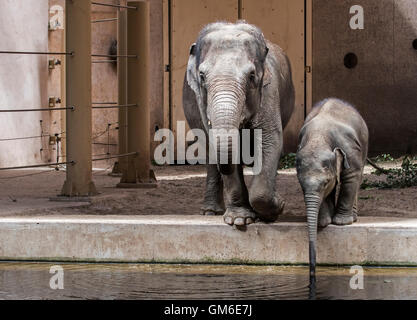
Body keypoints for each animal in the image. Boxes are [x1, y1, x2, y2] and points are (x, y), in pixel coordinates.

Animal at [181, 21, 292, 226]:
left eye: (251, 76)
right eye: (202, 76)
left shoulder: (269, 91)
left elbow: (270, 140)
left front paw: (275, 210)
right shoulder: (201, 101)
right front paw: (240, 220)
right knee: (210, 155)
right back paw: (210, 212)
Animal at [296, 97, 368, 278]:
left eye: (325, 183)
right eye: (300, 184)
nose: (312, 276)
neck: (319, 138)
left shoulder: (350, 150)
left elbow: (351, 177)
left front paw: (341, 223)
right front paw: (323, 223)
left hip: (364, 144)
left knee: (358, 177)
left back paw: (351, 218)